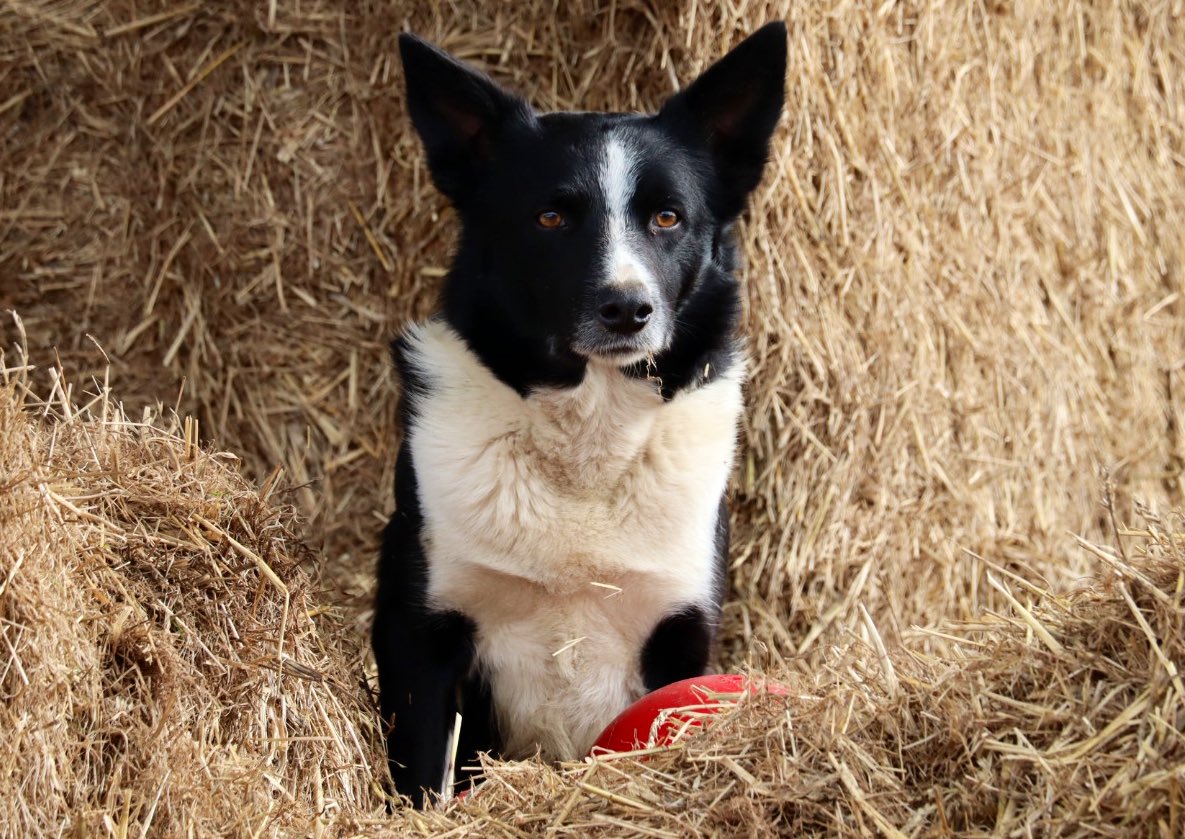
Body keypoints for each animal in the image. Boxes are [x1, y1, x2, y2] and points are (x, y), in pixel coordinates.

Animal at [372, 21, 786, 805]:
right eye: (551, 216)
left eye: (667, 217)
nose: (627, 308)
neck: (588, 434)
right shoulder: (423, 635)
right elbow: (423, 774)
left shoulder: (678, 634)